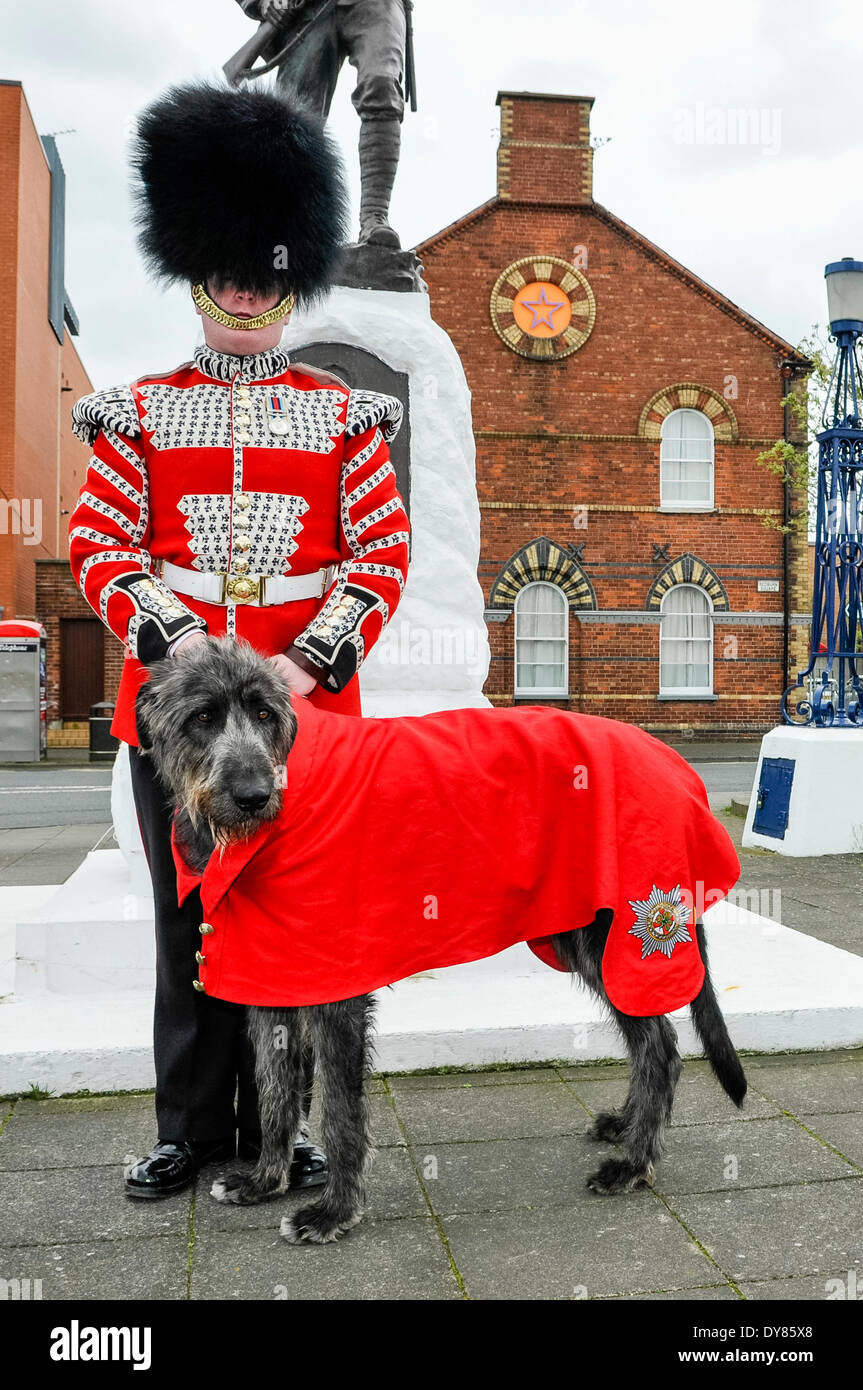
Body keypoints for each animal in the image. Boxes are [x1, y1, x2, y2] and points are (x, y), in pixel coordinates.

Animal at [136, 636, 744, 1245]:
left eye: (264, 713)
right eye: (202, 717)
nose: (254, 797)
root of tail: (675, 769)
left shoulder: (338, 991)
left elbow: (339, 1108)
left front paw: (334, 1211)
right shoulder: (273, 980)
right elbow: (274, 1090)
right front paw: (264, 1180)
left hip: (619, 935)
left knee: (660, 1048)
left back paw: (634, 1164)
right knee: (651, 1041)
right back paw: (627, 1127)